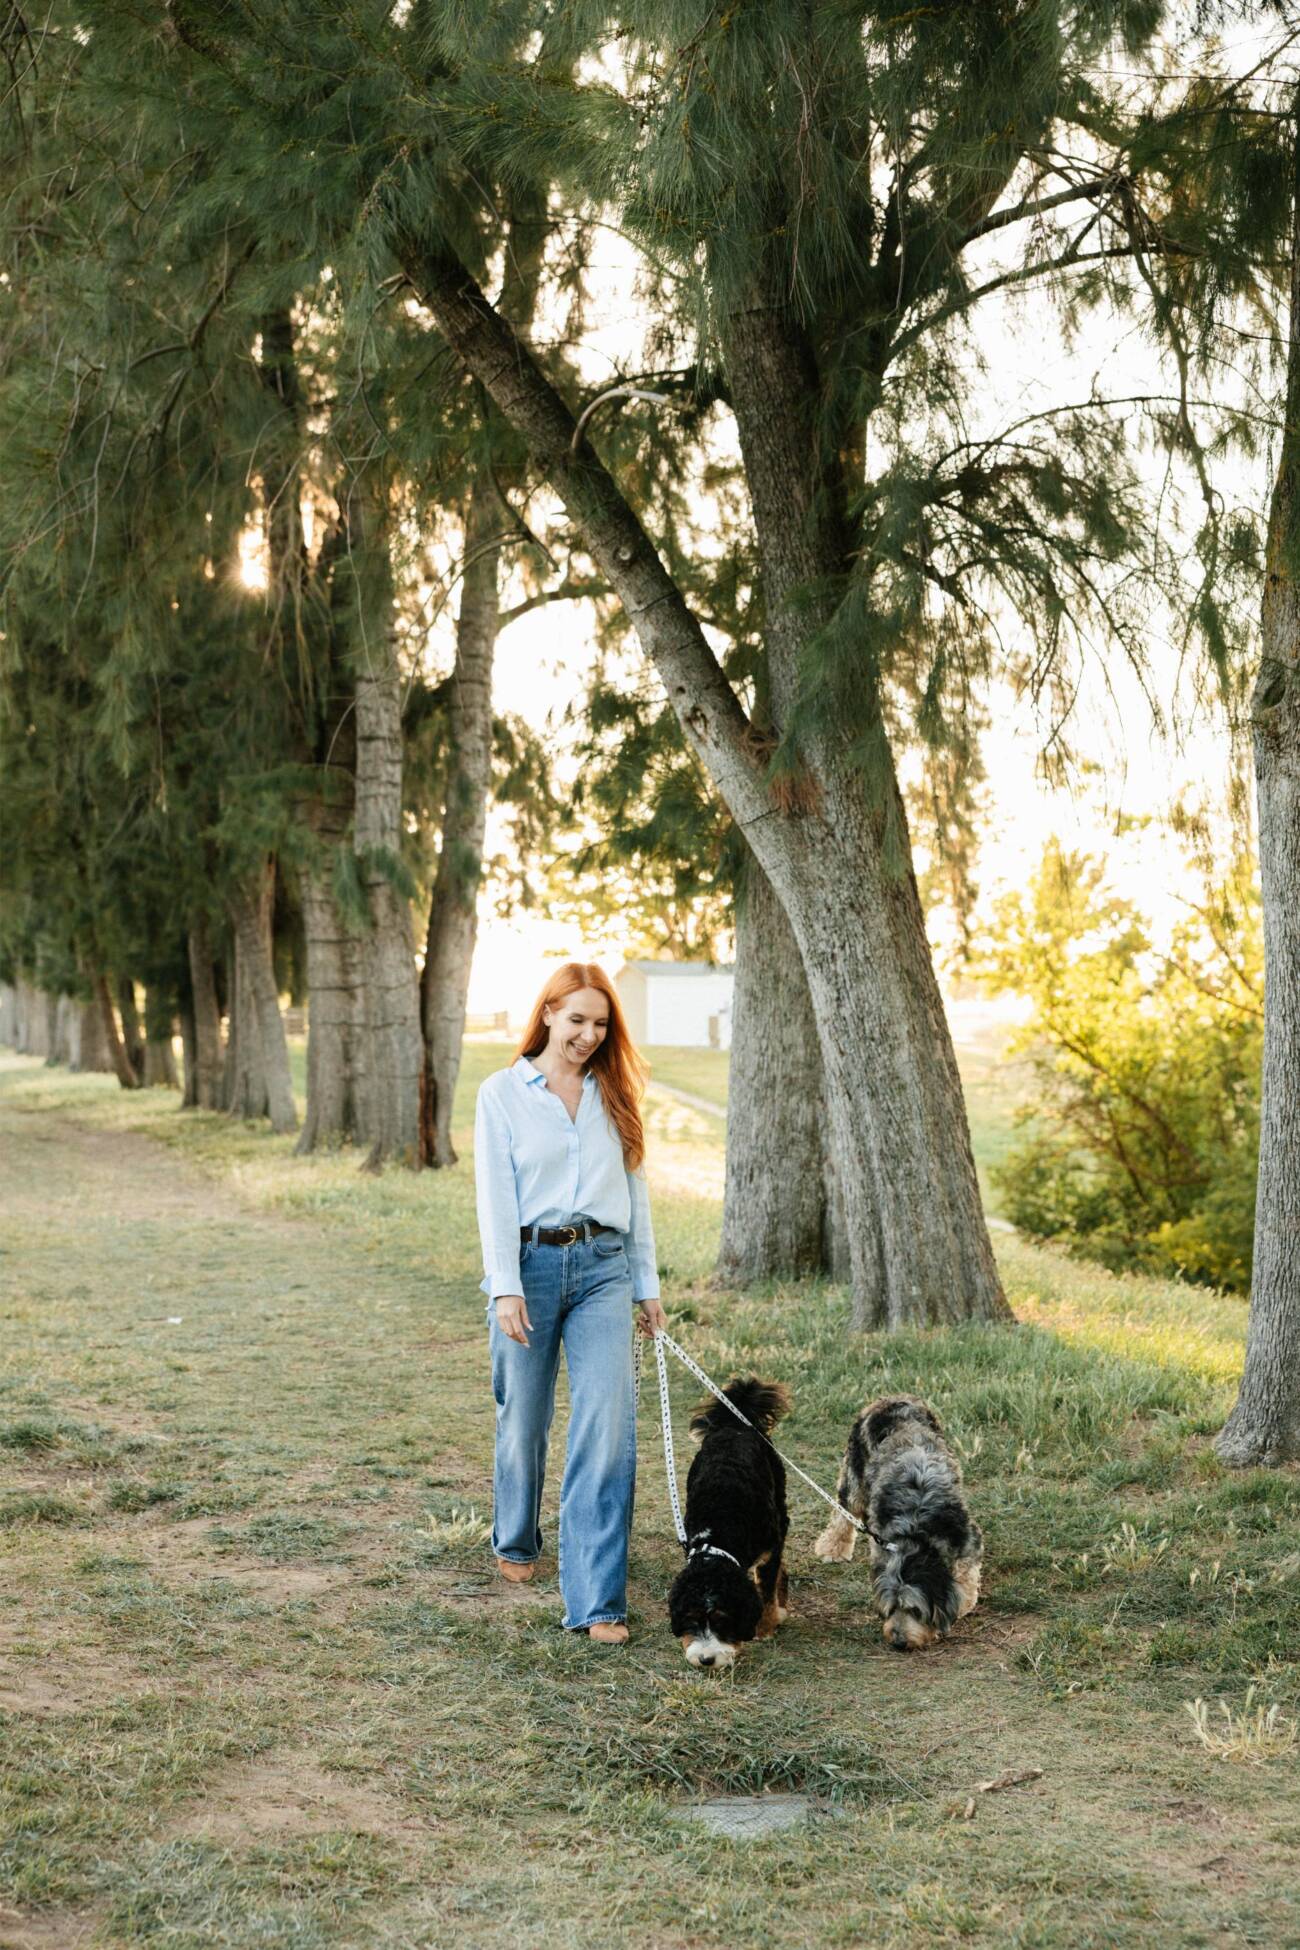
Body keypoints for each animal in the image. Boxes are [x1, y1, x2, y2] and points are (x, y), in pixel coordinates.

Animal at [667, 1378, 791, 1670]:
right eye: (691, 1620)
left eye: (722, 1621)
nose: (706, 1659)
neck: (719, 1532)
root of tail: (735, 1424)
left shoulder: (769, 1549)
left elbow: (766, 1591)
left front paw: (765, 1628)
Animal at [814, 1395, 981, 1650]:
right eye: (891, 1608)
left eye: (916, 1610)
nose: (899, 1642)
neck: (916, 1527)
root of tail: (890, 1398)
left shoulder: (967, 1537)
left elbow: (965, 1572)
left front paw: (963, 1602)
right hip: (854, 1474)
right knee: (843, 1511)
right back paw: (832, 1548)